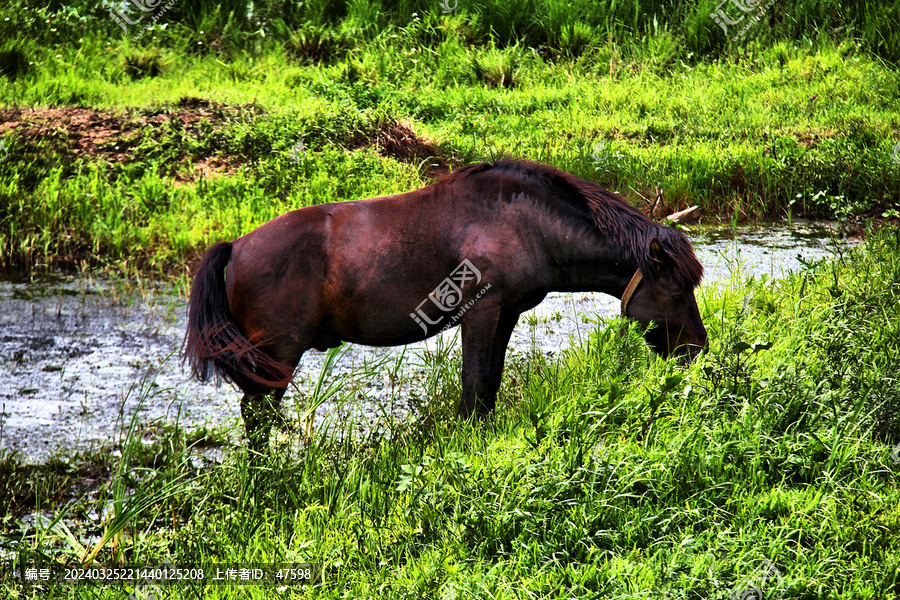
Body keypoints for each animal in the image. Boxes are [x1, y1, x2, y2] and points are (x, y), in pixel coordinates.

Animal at [181, 159, 704, 450]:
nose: (698, 348)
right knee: (256, 416)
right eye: (679, 293)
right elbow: (472, 386)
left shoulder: (506, 314)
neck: (527, 222)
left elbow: (489, 384)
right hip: (278, 355)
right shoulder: (481, 312)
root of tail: (237, 246)